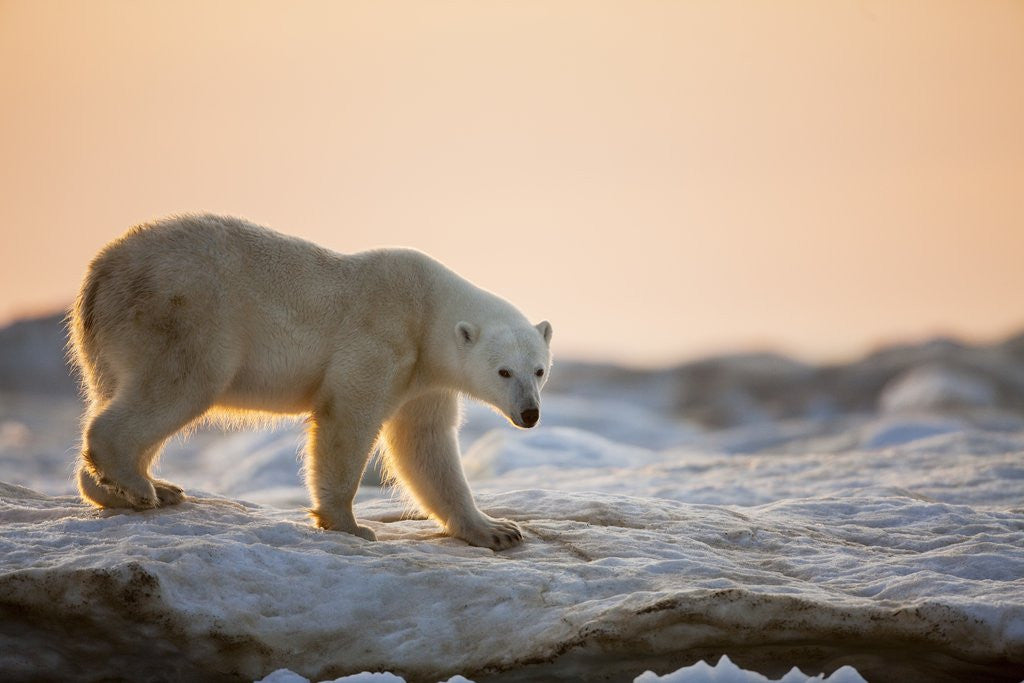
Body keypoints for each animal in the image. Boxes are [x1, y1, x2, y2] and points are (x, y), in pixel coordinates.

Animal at [69, 214, 552, 550]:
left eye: (539, 370)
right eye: (503, 371)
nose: (529, 414)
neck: (429, 307)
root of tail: (99, 273)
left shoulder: (426, 376)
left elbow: (425, 444)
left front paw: (497, 529)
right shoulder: (383, 335)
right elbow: (348, 416)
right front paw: (350, 525)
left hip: (112, 340)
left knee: (116, 391)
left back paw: (134, 490)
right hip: (183, 310)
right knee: (180, 383)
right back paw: (138, 484)